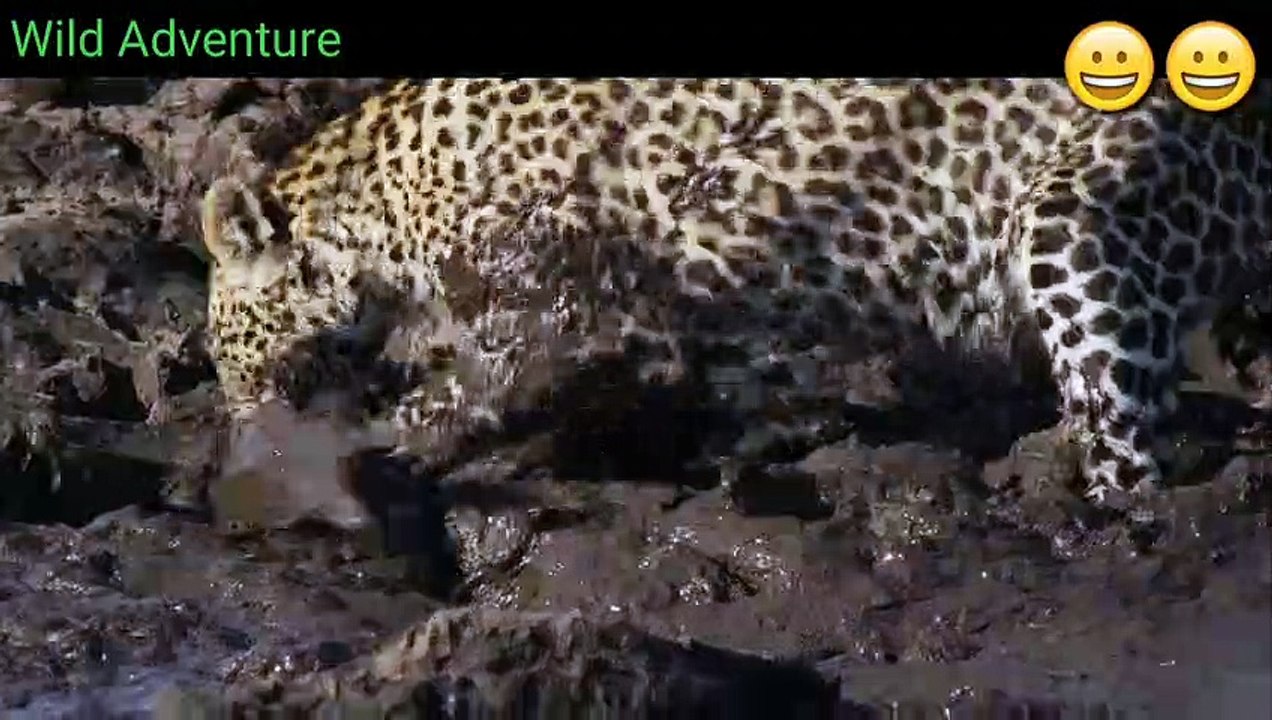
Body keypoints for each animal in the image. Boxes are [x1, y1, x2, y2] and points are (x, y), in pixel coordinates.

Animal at [199, 78, 1271, 505]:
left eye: (228, 350)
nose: (246, 435)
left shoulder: (552, 298)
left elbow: (477, 384)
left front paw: (393, 450)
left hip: (1079, 223)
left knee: (1128, 432)